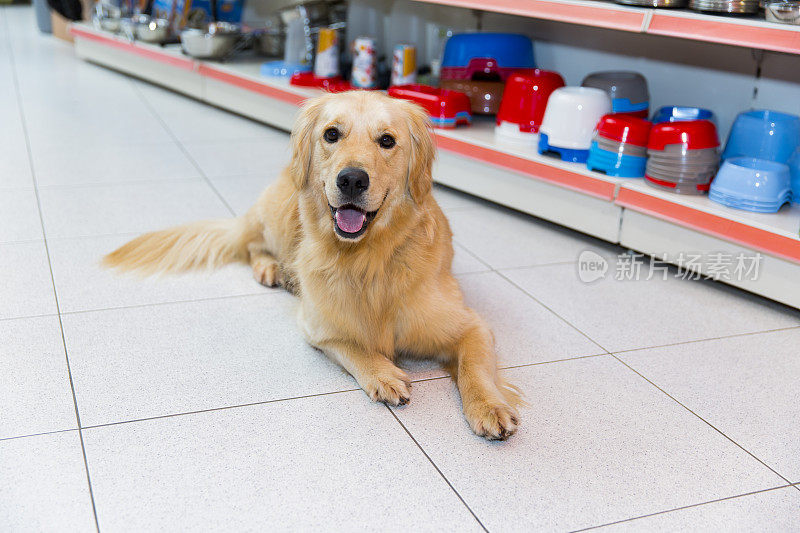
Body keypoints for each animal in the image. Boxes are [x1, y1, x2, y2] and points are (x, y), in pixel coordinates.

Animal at [103, 90, 520, 440]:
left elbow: (475, 366)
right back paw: (272, 268)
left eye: (387, 141)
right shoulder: (318, 326)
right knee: (253, 244)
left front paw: (490, 407)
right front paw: (383, 374)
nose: (351, 179)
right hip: (276, 215)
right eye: (332, 134)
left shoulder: (470, 325)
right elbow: (354, 346)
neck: (366, 259)